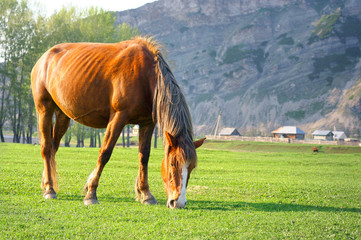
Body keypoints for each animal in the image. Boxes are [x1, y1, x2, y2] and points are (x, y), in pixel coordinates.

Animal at [30, 37, 205, 208]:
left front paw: (146, 194)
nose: (179, 202)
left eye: (191, 167)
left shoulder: (147, 123)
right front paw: (91, 193)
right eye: (173, 163)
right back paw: (50, 189)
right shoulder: (118, 117)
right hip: (44, 109)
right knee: (46, 148)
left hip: (63, 115)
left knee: (53, 147)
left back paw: (46, 183)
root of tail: (44, 58)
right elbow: (105, 153)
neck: (145, 76)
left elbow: (144, 157)